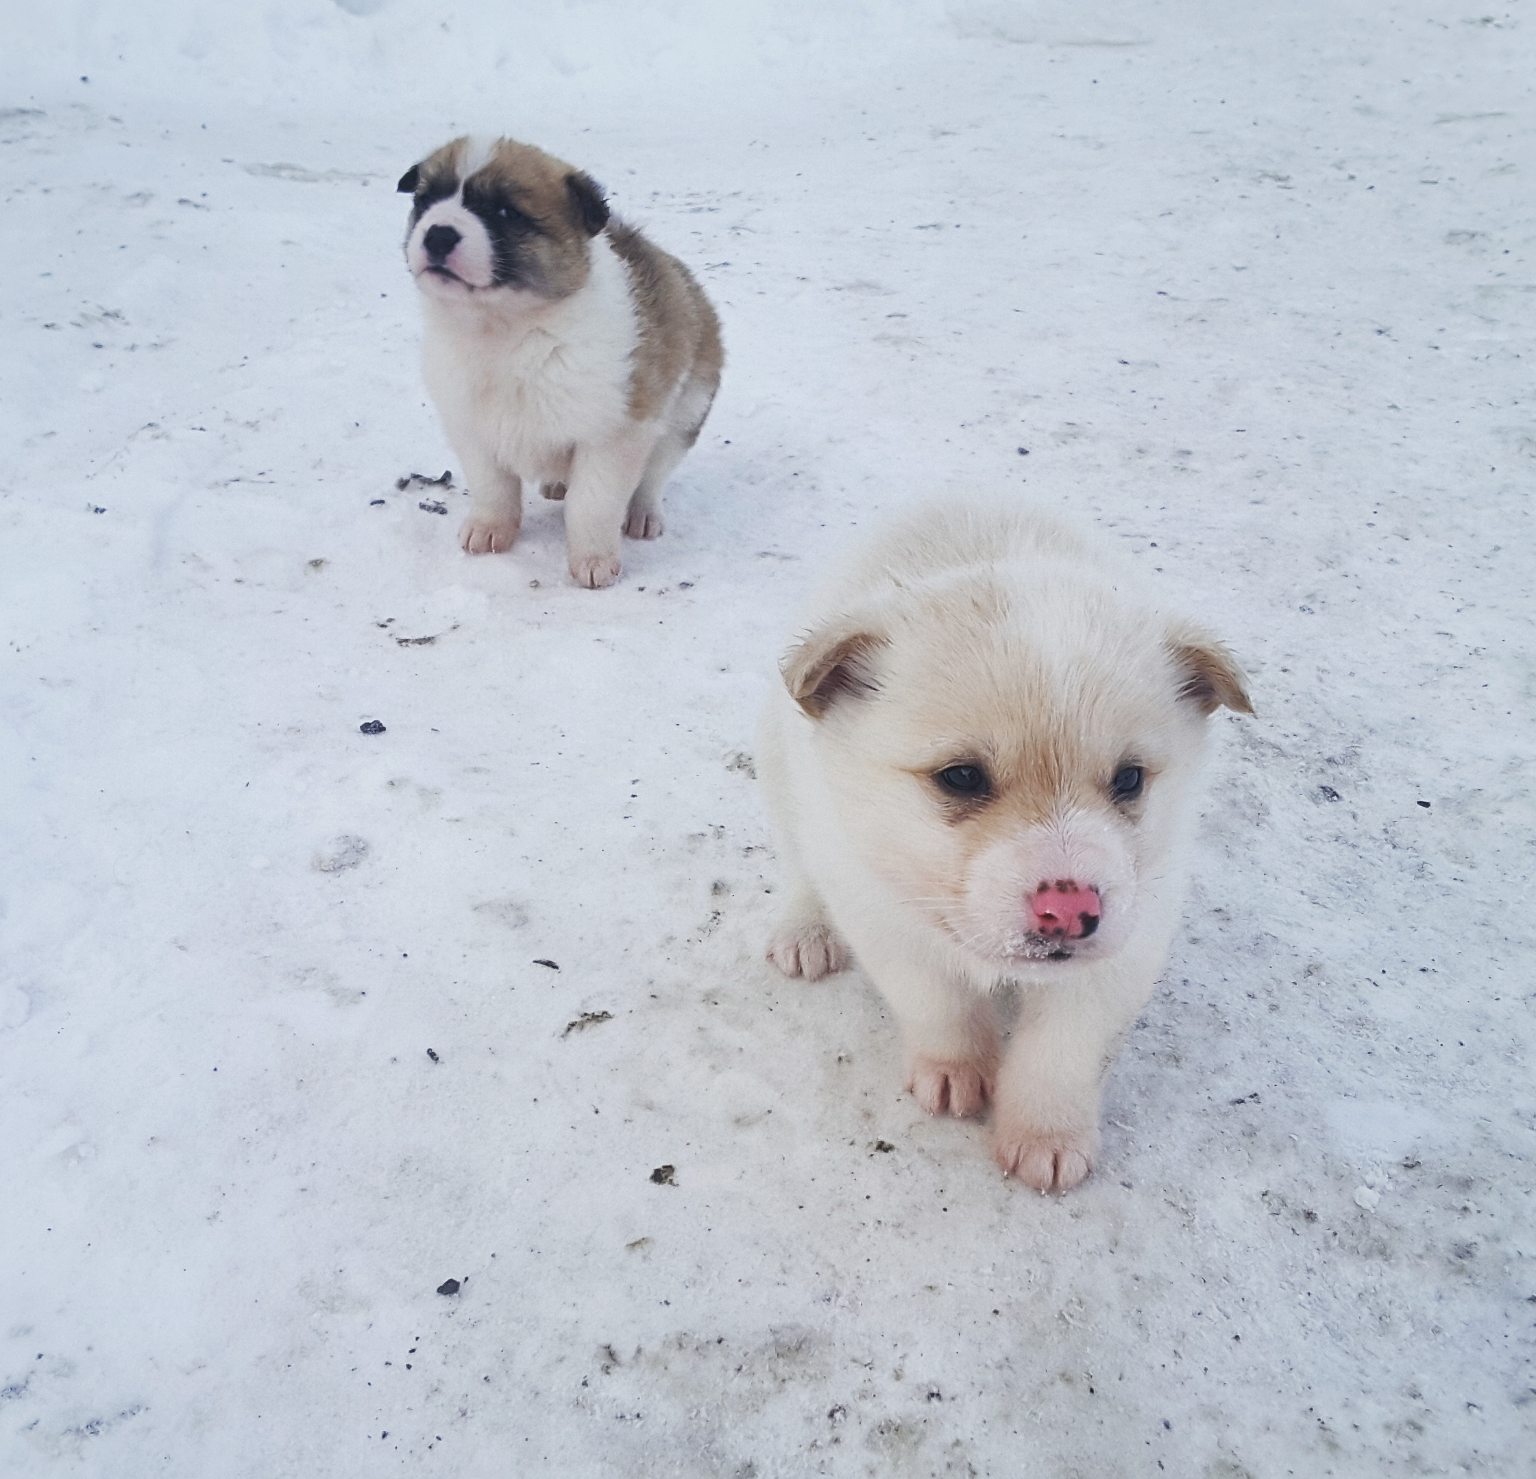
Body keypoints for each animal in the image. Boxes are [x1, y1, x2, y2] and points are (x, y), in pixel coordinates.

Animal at [396, 132, 718, 583]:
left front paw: (593, 560)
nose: (438, 235)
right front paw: (490, 528)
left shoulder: (614, 435)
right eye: (426, 200)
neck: (508, 331)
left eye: (504, 212)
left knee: (654, 475)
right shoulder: (472, 428)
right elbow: (493, 488)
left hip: (684, 415)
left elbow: (592, 503)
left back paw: (643, 515)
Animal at [755, 503, 1247, 1197]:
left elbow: (1063, 1052)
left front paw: (1046, 1138)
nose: (1068, 911)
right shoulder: (881, 911)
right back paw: (804, 932)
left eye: (1129, 779)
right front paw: (956, 1073)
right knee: (800, 865)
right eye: (961, 776)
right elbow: (940, 1005)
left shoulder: (1130, 939)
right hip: (780, 769)